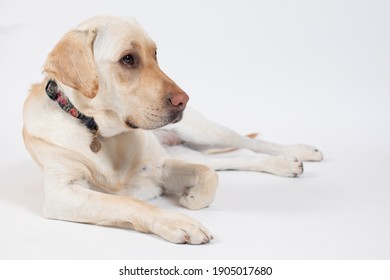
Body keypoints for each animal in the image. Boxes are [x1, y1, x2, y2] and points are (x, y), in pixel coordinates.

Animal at [22, 15, 324, 244]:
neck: (99, 132)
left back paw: (298, 153)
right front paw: (179, 220)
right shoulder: (62, 193)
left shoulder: (159, 166)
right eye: (128, 59)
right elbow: (130, 203)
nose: (184, 101)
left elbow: (208, 176)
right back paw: (286, 164)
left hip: (205, 132)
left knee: (248, 145)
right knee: (232, 160)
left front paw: (192, 199)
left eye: (155, 54)